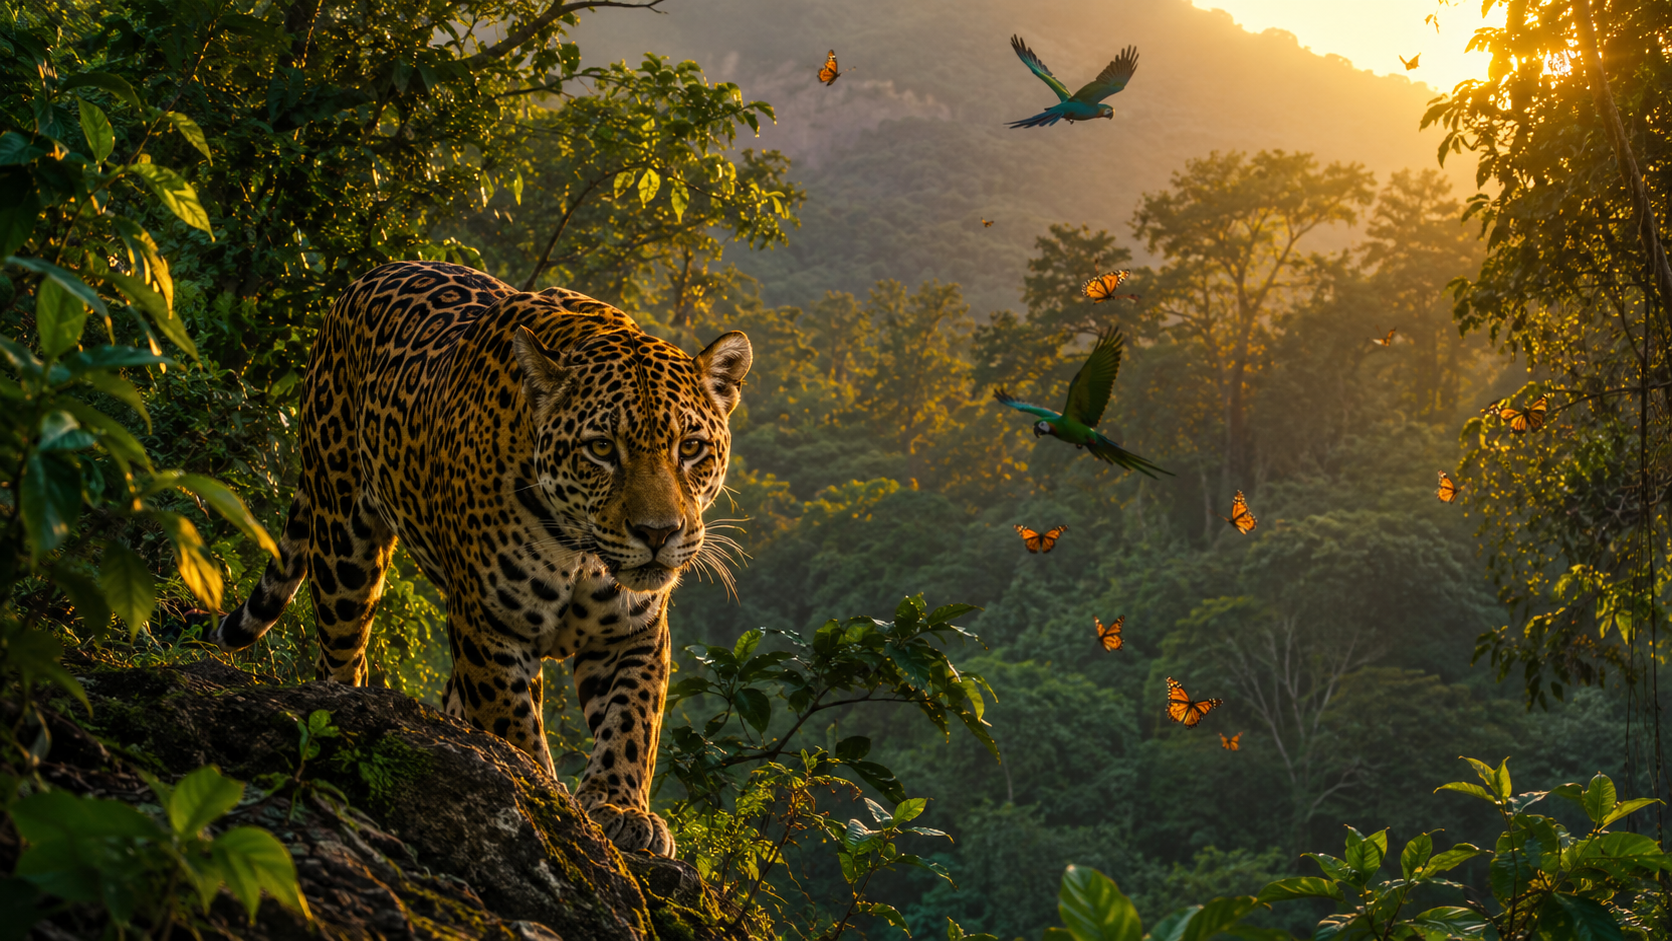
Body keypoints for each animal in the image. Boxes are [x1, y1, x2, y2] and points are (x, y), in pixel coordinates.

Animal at [211, 260, 751, 857]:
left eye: (691, 448)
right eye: (601, 449)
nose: (659, 533)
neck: (580, 550)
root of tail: (363, 280)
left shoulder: (633, 631)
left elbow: (633, 720)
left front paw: (621, 808)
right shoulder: (488, 625)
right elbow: (512, 723)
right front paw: (546, 802)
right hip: (341, 540)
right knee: (341, 656)